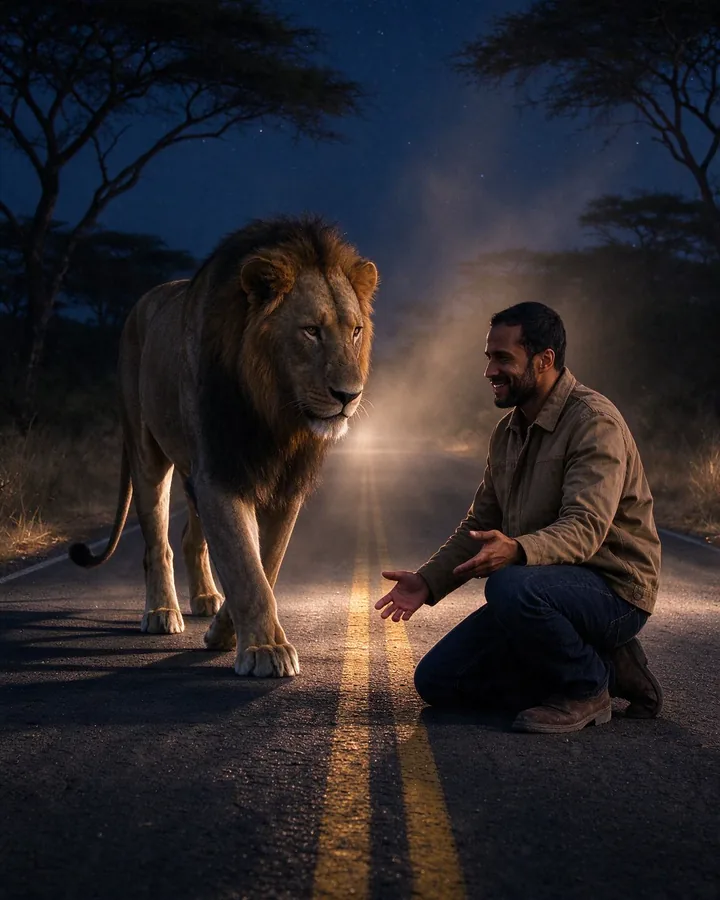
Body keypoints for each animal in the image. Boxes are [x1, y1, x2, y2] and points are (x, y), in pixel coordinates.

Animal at [69, 215, 378, 677]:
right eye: (311, 331)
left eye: (355, 331)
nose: (348, 395)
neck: (274, 413)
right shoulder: (221, 470)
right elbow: (245, 565)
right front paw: (266, 649)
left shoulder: (285, 486)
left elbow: (265, 563)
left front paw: (225, 633)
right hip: (147, 452)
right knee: (157, 542)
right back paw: (161, 612)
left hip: (190, 468)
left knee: (189, 537)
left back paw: (205, 599)